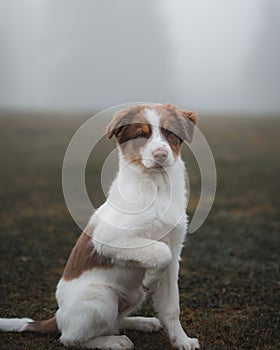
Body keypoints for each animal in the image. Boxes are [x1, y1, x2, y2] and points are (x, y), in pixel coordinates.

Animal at [1, 104, 200, 350]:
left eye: (170, 132)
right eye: (141, 134)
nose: (161, 155)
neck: (156, 186)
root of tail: (57, 318)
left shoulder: (174, 252)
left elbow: (172, 306)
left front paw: (182, 340)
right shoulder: (109, 239)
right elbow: (159, 252)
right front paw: (150, 279)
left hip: (132, 295)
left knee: (115, 320)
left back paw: (142, 322)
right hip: (101, 297)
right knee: (71, 338)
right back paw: (114, 341)